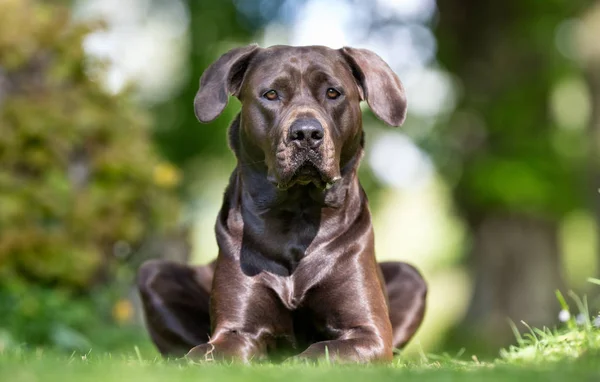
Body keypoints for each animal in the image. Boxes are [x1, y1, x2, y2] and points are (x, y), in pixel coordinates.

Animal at [137, 44, 426, 364]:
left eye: (333, 92)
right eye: (271, 94)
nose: (306, 133)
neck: (296, 215)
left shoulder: (368, 332)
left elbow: (319, 352)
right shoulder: (235, 330)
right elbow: (206, 352)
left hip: (412, 276)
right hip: (153, 274)